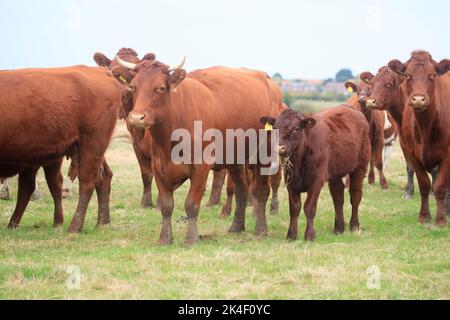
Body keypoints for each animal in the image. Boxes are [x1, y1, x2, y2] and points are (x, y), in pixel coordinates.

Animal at [0, 65, 121, 230]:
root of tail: (101, 71)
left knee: (87, 181)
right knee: (104, 178)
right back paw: (102, 222)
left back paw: (74, 227)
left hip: (91, 145)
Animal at [112, 56, 284, 244]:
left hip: (264, 154)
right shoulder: (157, 168)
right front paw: (165, 239)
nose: (137, 117)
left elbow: (191, 204)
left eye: (161, 88)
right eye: (133, 86)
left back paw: (260, 230)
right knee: (241, 189)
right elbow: (166, 205)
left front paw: (191, 239)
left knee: (261, 191)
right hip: (236, 159)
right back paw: (236, 227)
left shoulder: (201, 167)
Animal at [260, 106, 370, 241]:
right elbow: (294, 208)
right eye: (275, 128)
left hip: (360, 167)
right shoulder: (290, 182)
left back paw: (354, 226)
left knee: (355, 195)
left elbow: (309, 207)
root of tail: (352, 110)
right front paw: (291, 235)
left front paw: (310, 235)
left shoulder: (317, 180)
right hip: (335, 173)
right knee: (338, 197)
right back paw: (339, 228)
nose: (279, 147)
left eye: (296, 129)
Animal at [366, 51, 450, 225]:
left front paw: (440, 216)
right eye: (408, 76)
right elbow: (415, 174)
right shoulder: (407, 147)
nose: (370, 101)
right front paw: (410, 194)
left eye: (389, 84)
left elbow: (439, 182)